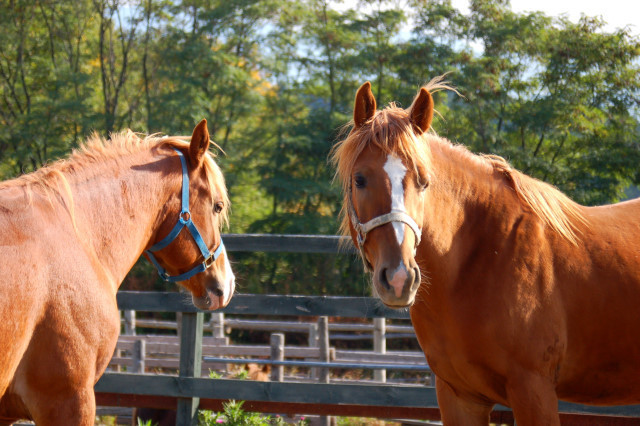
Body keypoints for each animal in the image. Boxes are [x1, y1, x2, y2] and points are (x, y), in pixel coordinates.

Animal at [331, 77, 640, 425]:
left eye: (424, 182)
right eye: (359, 179)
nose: (399, 278)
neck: (486, 255)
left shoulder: (534, 392)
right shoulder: (459, 397)